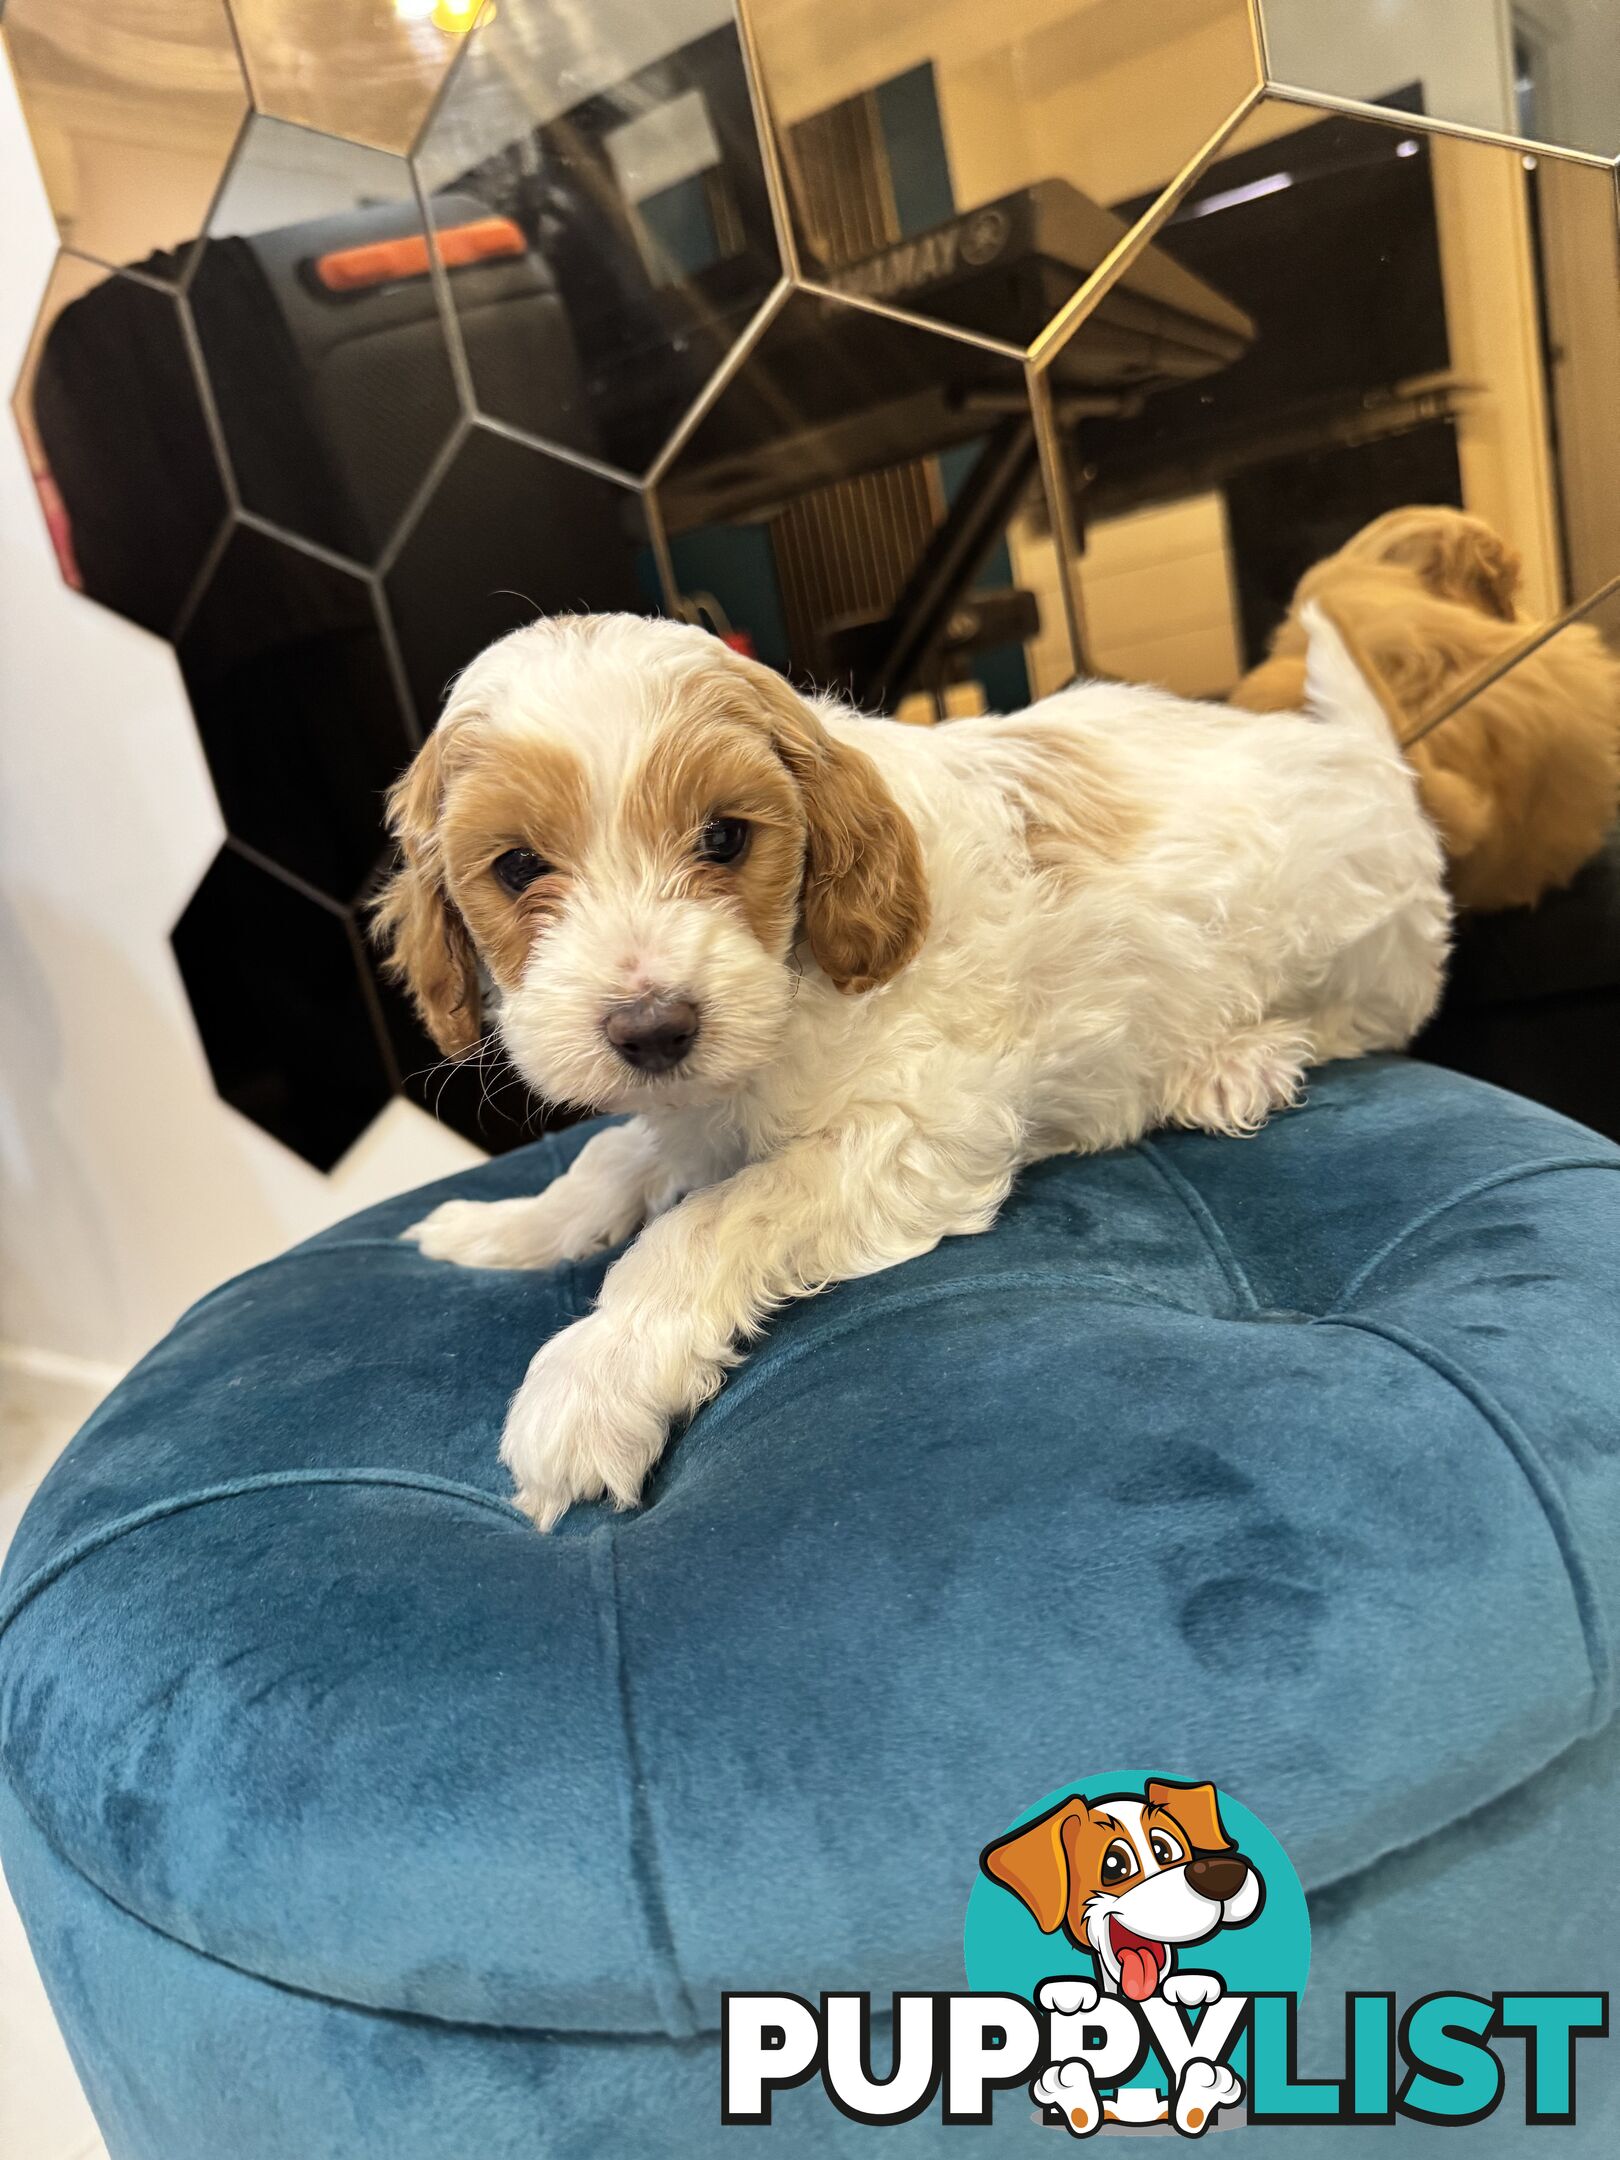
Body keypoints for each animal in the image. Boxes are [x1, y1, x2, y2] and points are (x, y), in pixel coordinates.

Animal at [378, 604, 1442, 1520]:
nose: (653, 1029)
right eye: (518, 867)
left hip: (1358, 950)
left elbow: (703, 1223)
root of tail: (1367, 758)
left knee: (1361, 1022)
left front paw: (590, 1378)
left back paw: (1232, 1063)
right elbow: (612, 1161)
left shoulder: (919, 1129)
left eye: (724, 837)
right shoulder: (700, 1110)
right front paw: (505, 1226)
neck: (795, 981)